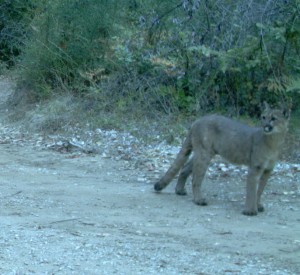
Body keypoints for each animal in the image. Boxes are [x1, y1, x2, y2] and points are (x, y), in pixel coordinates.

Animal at [154, 102, 290, 217]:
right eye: (263, 117)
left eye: (273, 118)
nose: (264, 125)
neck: (274, 142)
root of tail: (198, 120)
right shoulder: (255, 168)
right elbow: (252, 190)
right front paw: (250, 211)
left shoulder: (267, 170)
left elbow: (260, 190)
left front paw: (258, 205)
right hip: (204, 153)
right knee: (196, 178)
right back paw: (199, 200)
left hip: (205, 152)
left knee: (185, 167)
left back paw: (180, 190)